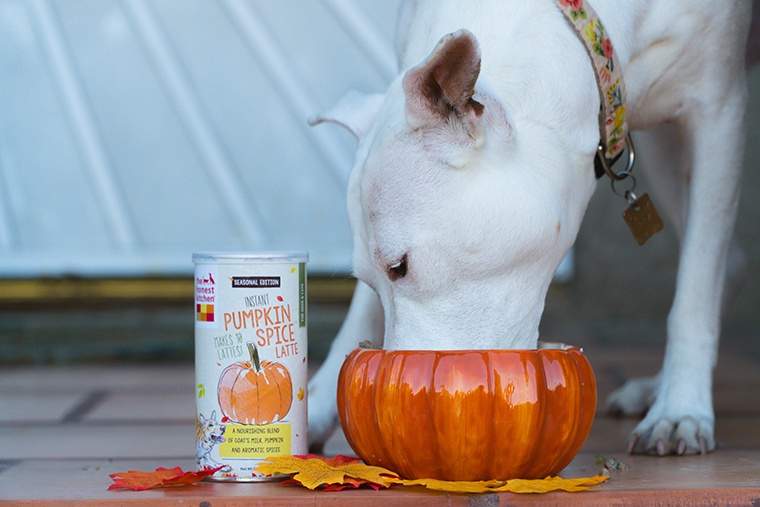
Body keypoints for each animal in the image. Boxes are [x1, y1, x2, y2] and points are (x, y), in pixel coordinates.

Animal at [308, 0, 748, 458]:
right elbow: (363, 309)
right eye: (370, 277)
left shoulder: (719, 114)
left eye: (400, 267)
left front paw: (681, 408)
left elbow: (695, 289)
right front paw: (319, 404)